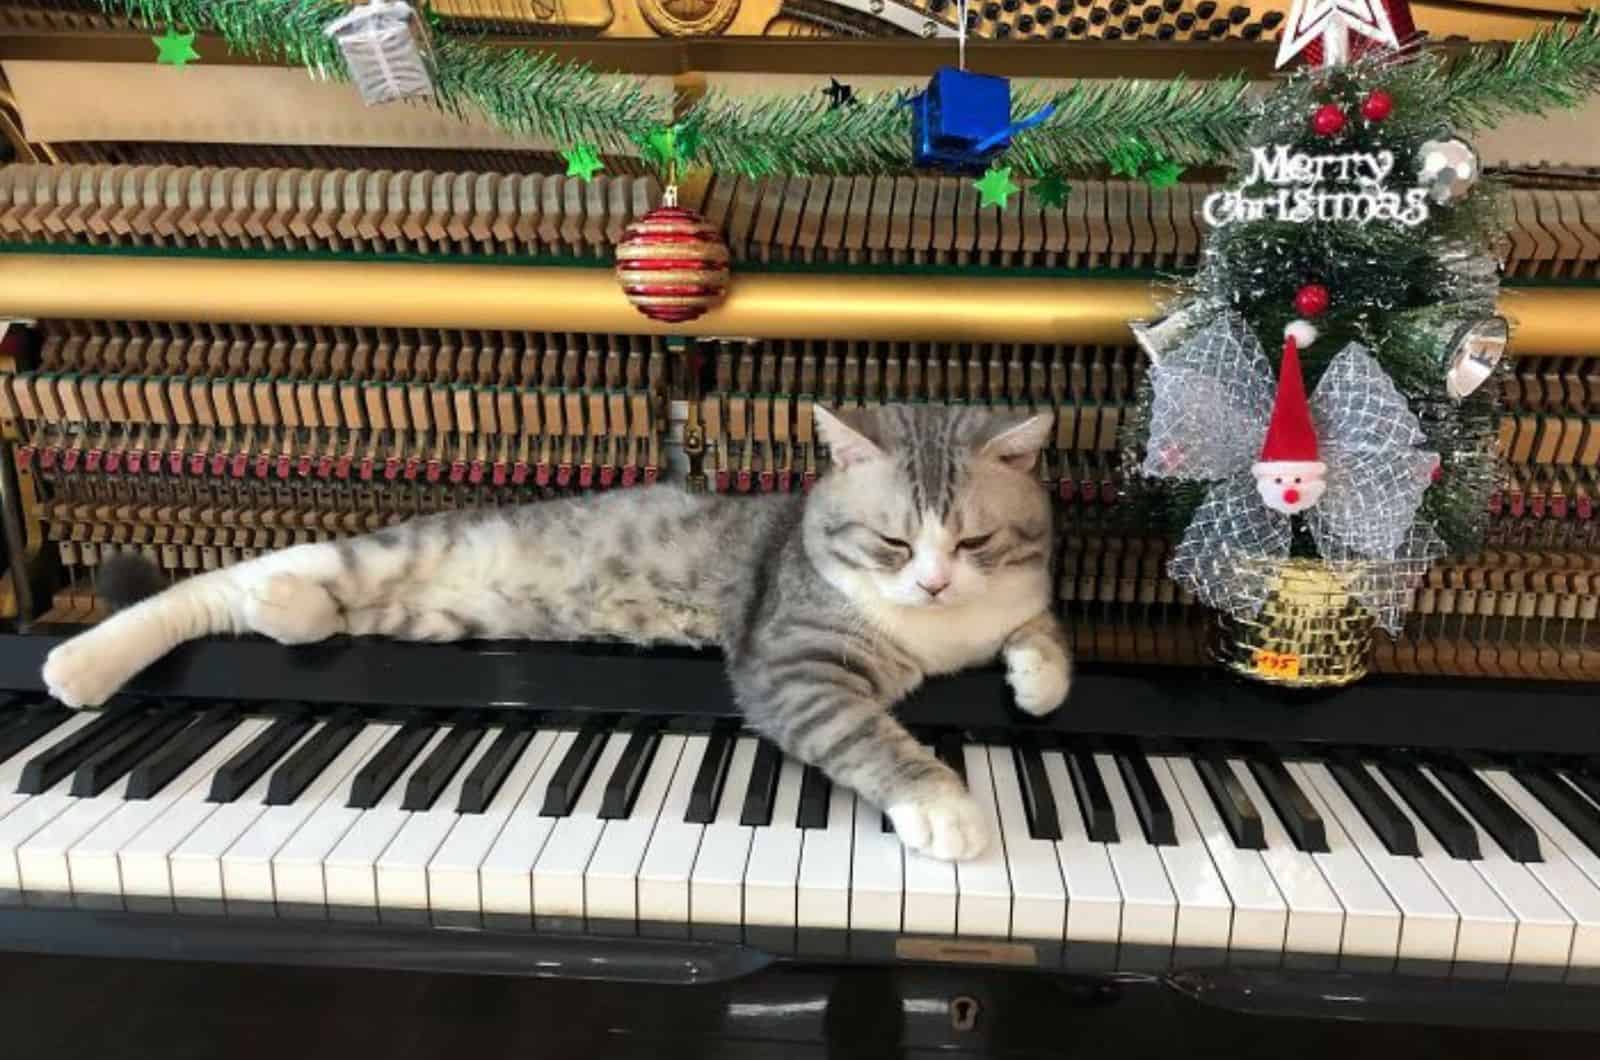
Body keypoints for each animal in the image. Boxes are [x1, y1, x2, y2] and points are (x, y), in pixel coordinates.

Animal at [40, 406, 1075, 864]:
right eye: (894, 541)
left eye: (974, 541)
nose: (932, 579)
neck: (936, 631)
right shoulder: (793, 667)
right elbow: (870, 735)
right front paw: (943, 806)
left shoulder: (1012, 596)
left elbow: (1042, 631)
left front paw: (1038, 680)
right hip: (375, 560)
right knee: (211, 588)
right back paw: (80, 661)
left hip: (412, 612)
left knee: (280, 603)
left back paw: (288, 613)